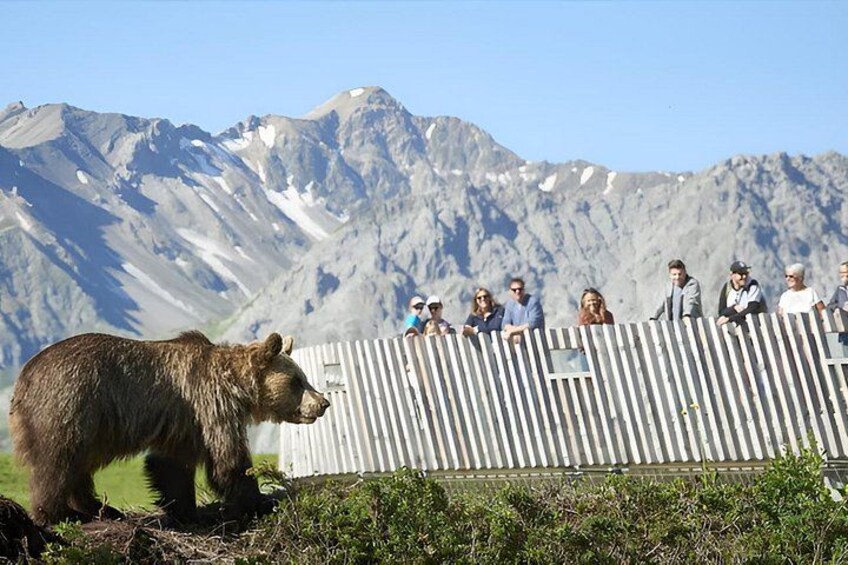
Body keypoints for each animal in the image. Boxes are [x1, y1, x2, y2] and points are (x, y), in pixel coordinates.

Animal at [8, 330, 330, 526]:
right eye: (297, 381)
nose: (323, 403)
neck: (237, 388)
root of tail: (23, 377)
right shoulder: (211, 405)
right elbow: (229, 462)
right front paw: (260, 501)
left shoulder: (186, 422)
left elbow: (171, 466)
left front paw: (185, 510)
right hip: (71, 403)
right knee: (58, 459)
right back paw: (58, 513)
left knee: (78, 465)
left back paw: (103, 508)